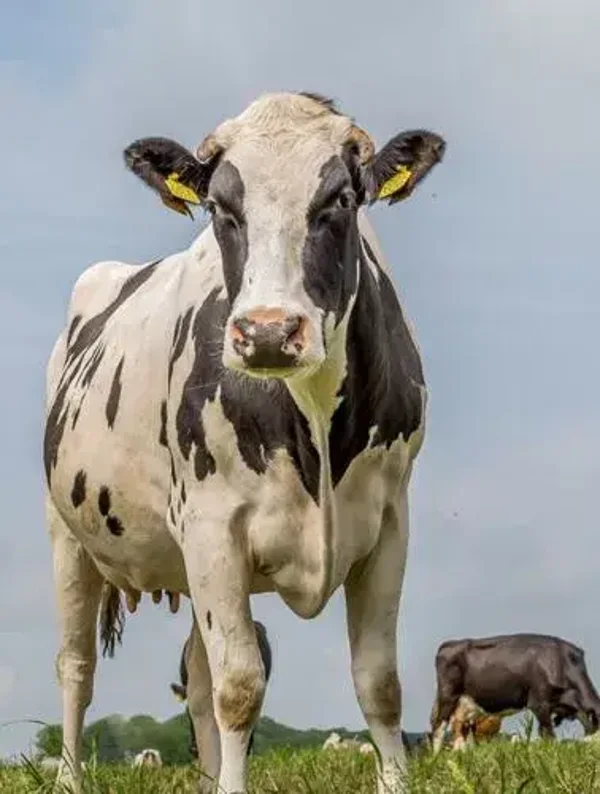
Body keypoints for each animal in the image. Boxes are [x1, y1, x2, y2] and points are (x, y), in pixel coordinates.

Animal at [430, 633, 600, 753]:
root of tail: (450, 644)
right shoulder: (539, 704)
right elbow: (548, 735)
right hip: (448, 696)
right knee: (439, 727)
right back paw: (436, 758)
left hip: (467, 704)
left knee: (462, 730)